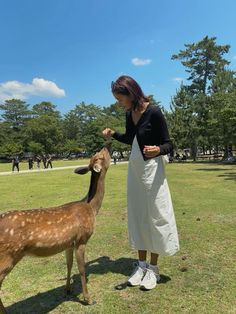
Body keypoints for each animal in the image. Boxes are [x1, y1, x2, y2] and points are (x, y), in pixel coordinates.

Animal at [0, 146, 110, 312]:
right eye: (100, 156)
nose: (105, 147)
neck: (91, 207)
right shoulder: (81, 239)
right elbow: (82, 269)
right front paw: (89, 299)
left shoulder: (69, 243)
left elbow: (69, 265)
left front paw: (67, 289)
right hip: (8, 256)